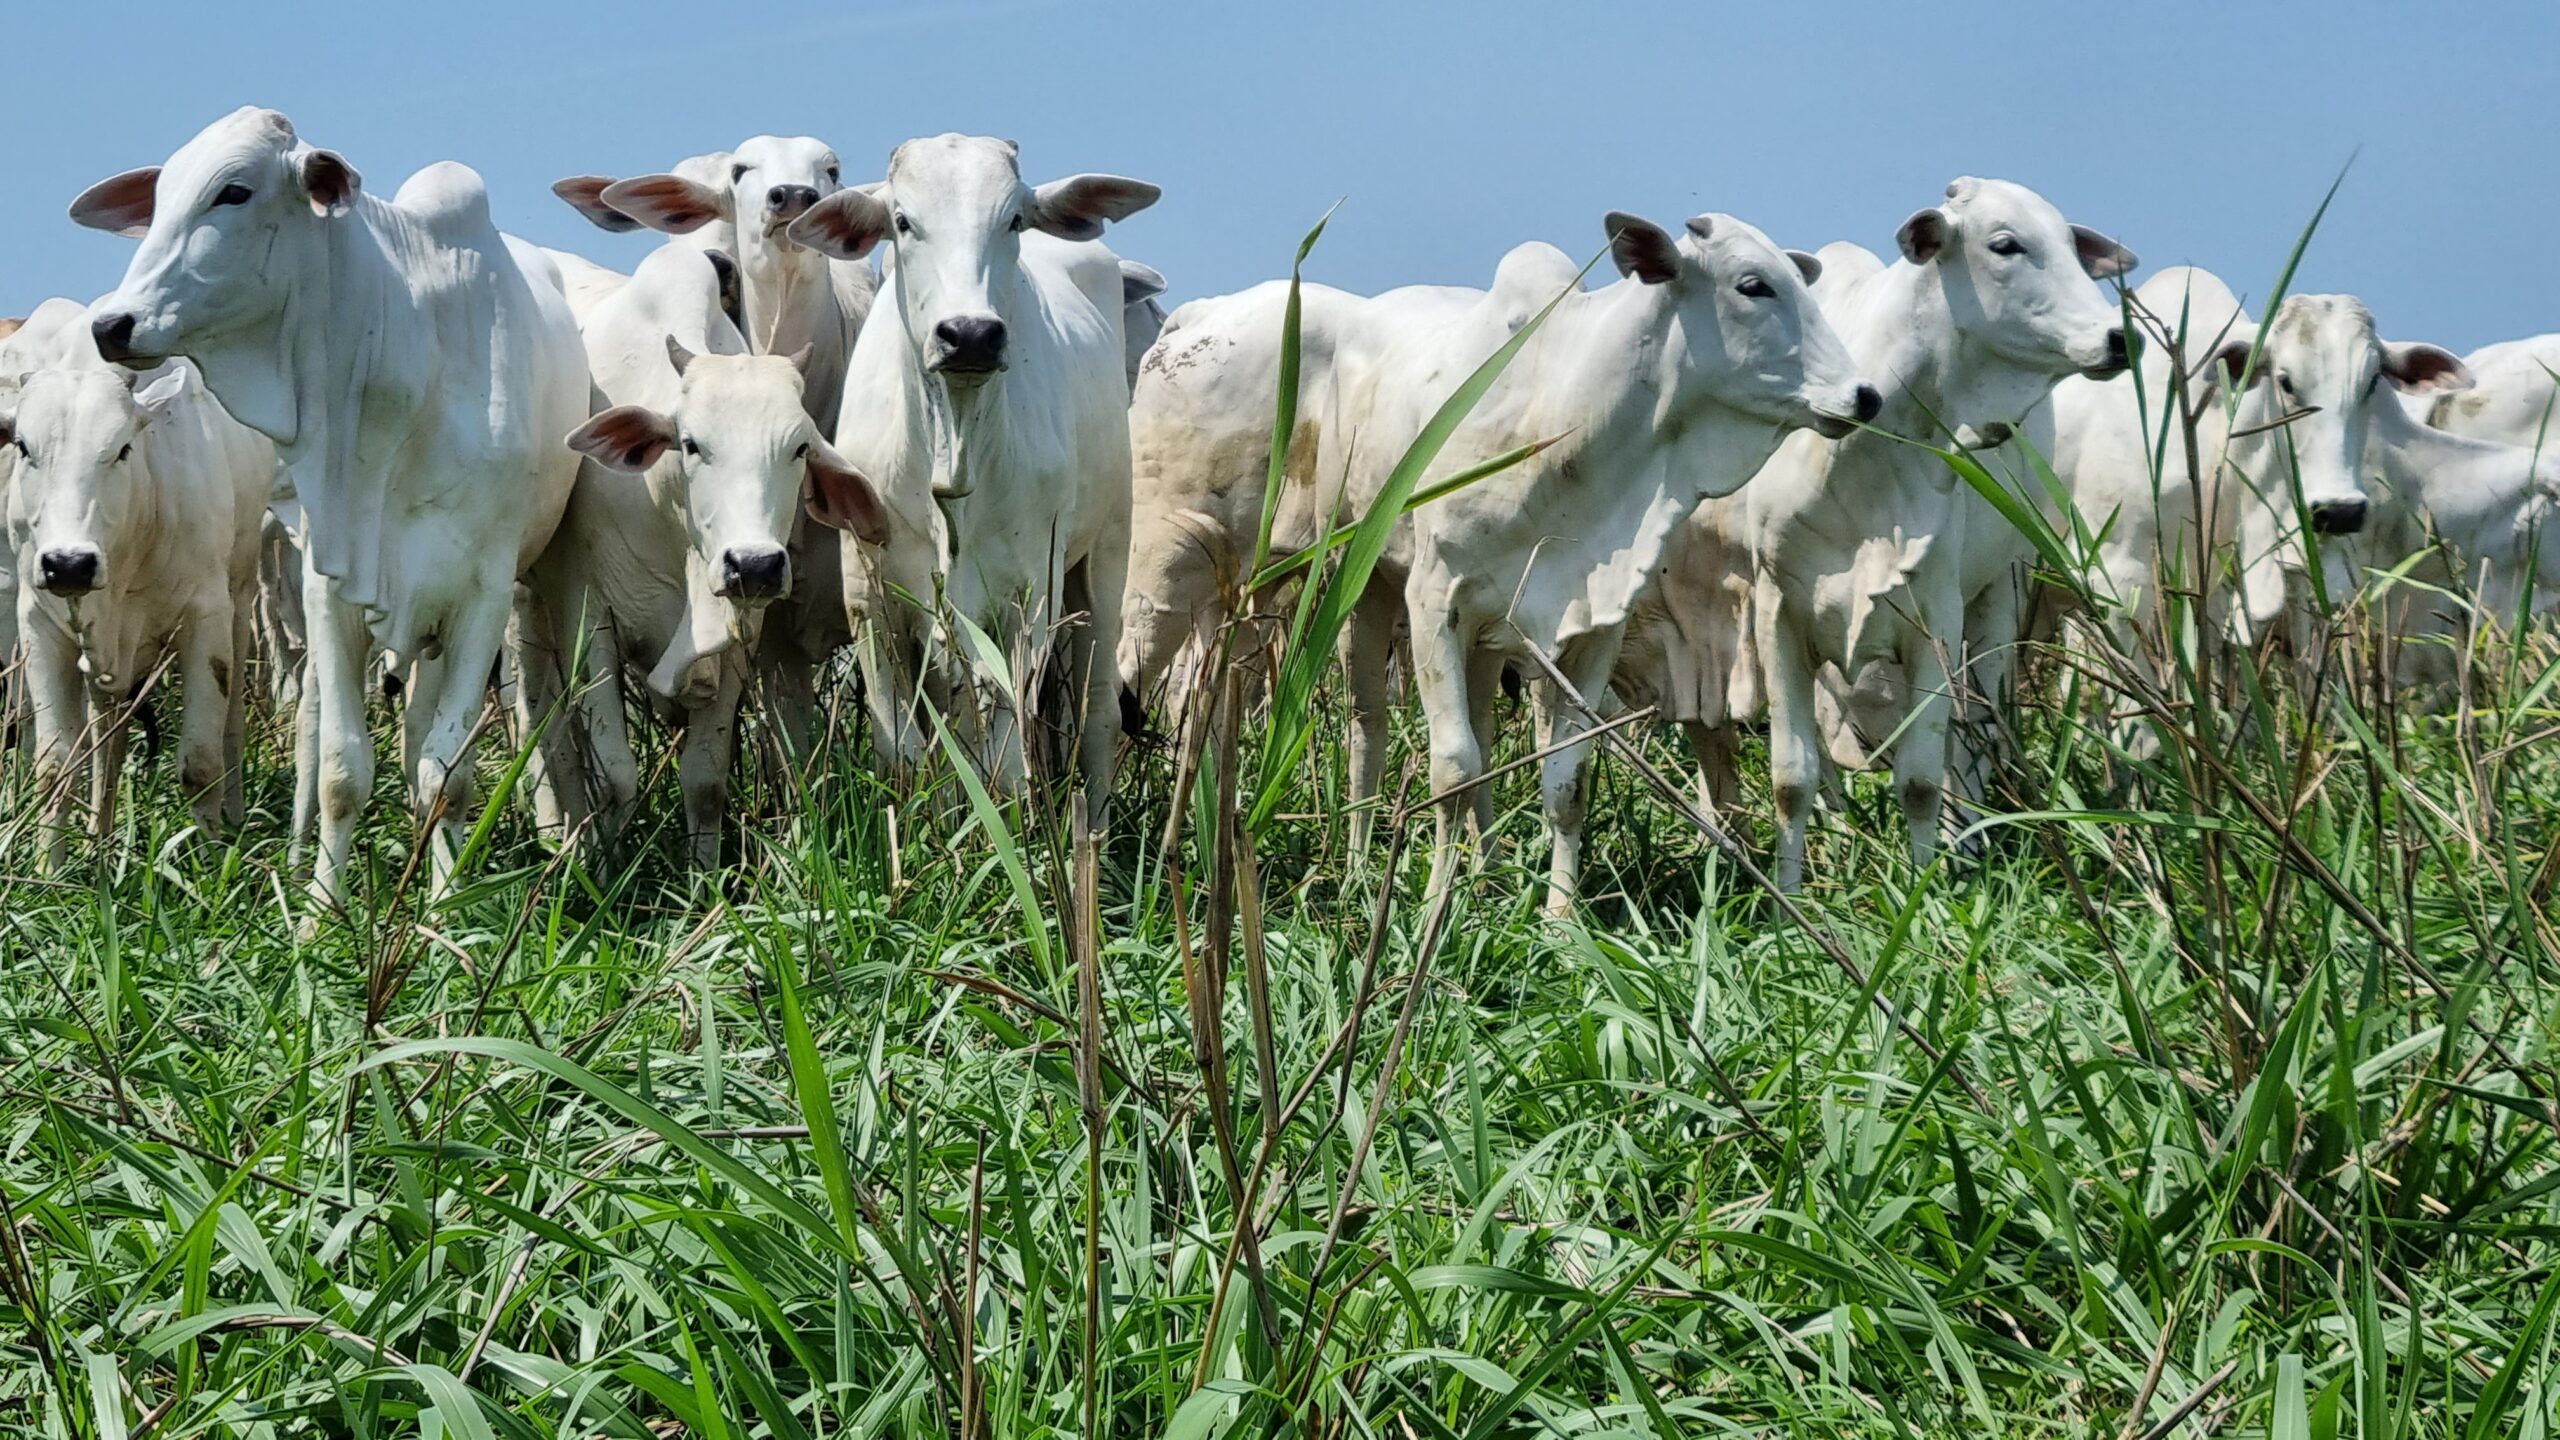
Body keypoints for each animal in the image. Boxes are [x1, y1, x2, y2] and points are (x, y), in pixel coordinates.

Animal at [1, 340, 275, 855]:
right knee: (106, 731)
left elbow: (199, 764)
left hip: (242, 594)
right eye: (24, 448)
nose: (69, 563)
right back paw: (99, 834)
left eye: (123, 449)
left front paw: (209, 863)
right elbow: (54, 769)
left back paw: (232, 813)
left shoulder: (206, 617)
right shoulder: (39, 625)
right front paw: (51, 866)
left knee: (230, 724)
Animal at [76, 106, 588, 901]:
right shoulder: (331, 584)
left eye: (234, 191)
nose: (112, 325)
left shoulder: (483, 594)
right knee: (330, 736)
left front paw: (445, 905)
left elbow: (448, 776)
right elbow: (343, 770)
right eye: (157, 201)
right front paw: (322, 910)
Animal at [529, 243, 890, 860]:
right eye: (691, 443)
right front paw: (608, 874)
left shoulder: (738, 639)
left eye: (800, 447)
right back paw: (558, 838)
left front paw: (703, 878)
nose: (755, 565)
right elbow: (615, 777)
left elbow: (705, 781)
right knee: (542, 730)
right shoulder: (586, 613)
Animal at [1121, 207, 1884, 901]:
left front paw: (1559, 919)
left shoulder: (1588, 625)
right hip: (1178, 557)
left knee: (1360, 722)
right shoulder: (1435, 602)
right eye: (1753, 285)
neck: (1571, 421)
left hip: (1351, 586)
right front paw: (1436, 905)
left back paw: (1389, 864)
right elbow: (1455, 769)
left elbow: (1564, 781)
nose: (1865, 396)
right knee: (1144, 682)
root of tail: (1197, 315)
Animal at [1720, 179, 2140, 886]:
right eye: (2005, 244)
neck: (1862, 455)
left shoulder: (1936, 617)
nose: (2118, 337)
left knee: (1973, 741)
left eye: (2070, 243)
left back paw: (1966, 847)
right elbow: (1792, 779)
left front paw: (1926, 895)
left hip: (1998, 599)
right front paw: (1790, 896)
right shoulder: (1779, 611)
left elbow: (1920, 779)